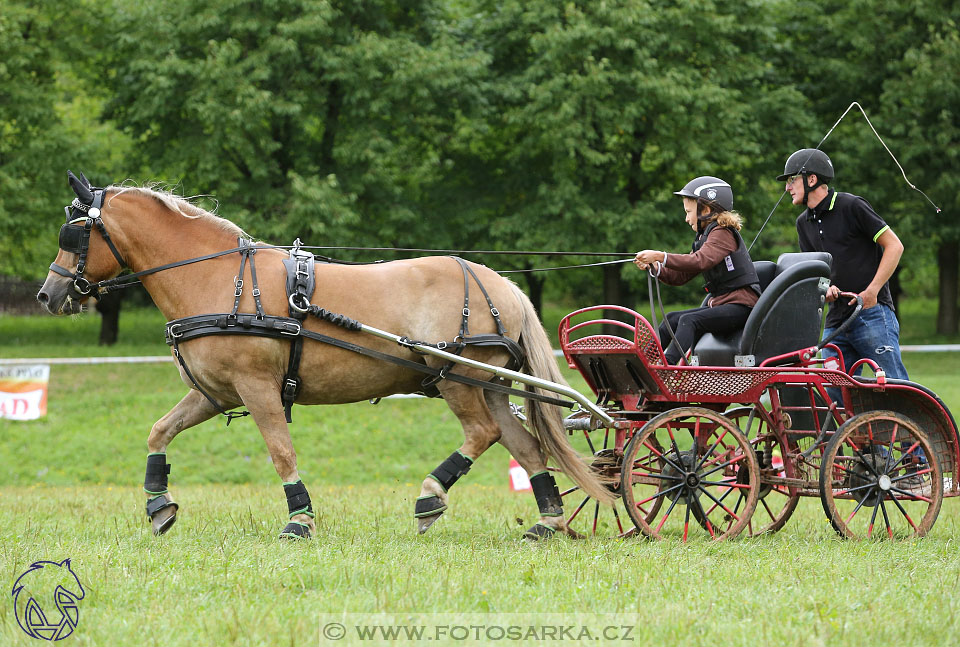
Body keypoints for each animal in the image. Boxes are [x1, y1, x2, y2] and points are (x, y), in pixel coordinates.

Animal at [37, 171, 612, 540]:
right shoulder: (217, 394)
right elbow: (159, 432)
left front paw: (300, 519)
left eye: (75, 233)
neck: (216, 278)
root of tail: (503, 285)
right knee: (524, 443)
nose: (48, 294)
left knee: (484, 433)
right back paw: (547, 520)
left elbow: (280, 452)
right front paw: (158, 504)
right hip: (485, 383)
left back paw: (431, 496)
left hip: (456, 379)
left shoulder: (257, 388)